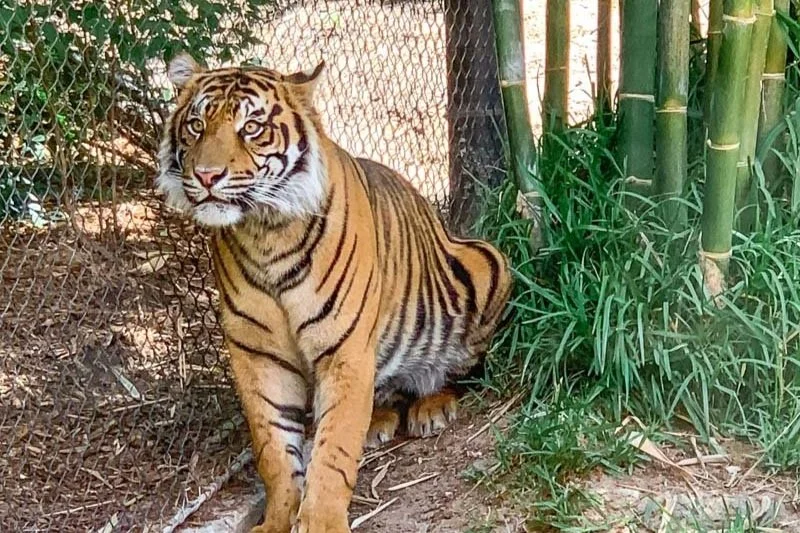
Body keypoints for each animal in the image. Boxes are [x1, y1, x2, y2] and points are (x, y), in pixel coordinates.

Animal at [155, 52, 512, 533]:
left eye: (251, 127)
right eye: (196, 124)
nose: (207, 175)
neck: (264, 233)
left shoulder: (345, 351)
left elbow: (334, 447)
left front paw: (321, 520)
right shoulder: (258, 358)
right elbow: (273, 449)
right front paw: (278, 518)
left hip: (486, 265)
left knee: (458, 372)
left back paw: (431, 407)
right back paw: (380, 419)